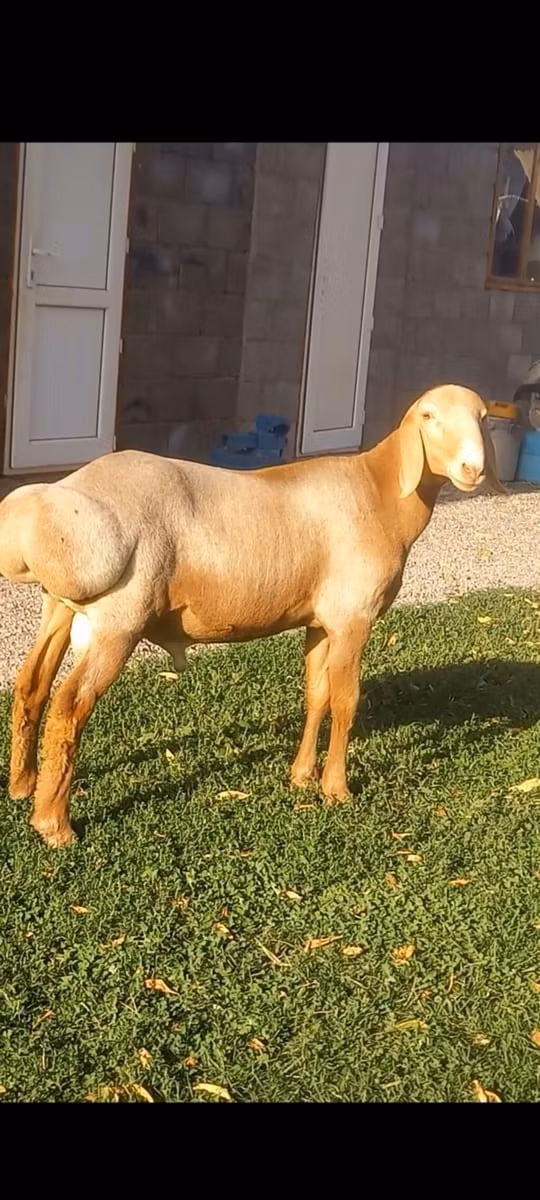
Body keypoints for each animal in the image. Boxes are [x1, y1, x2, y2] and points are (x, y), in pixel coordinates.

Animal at [0, 383, 504, 848]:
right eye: (428, 416)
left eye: (483, 417)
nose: (472, 469)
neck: (380, 492)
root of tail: (47, 501)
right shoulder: (352, 618)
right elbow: (346, 701)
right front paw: (336, 790)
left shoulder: (321, 622)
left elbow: (317, 694)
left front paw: (301, 776)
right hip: (117, 619)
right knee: (70, 706)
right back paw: (54, 825)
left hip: (60, 606)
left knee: (31, 685)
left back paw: (23, 787)